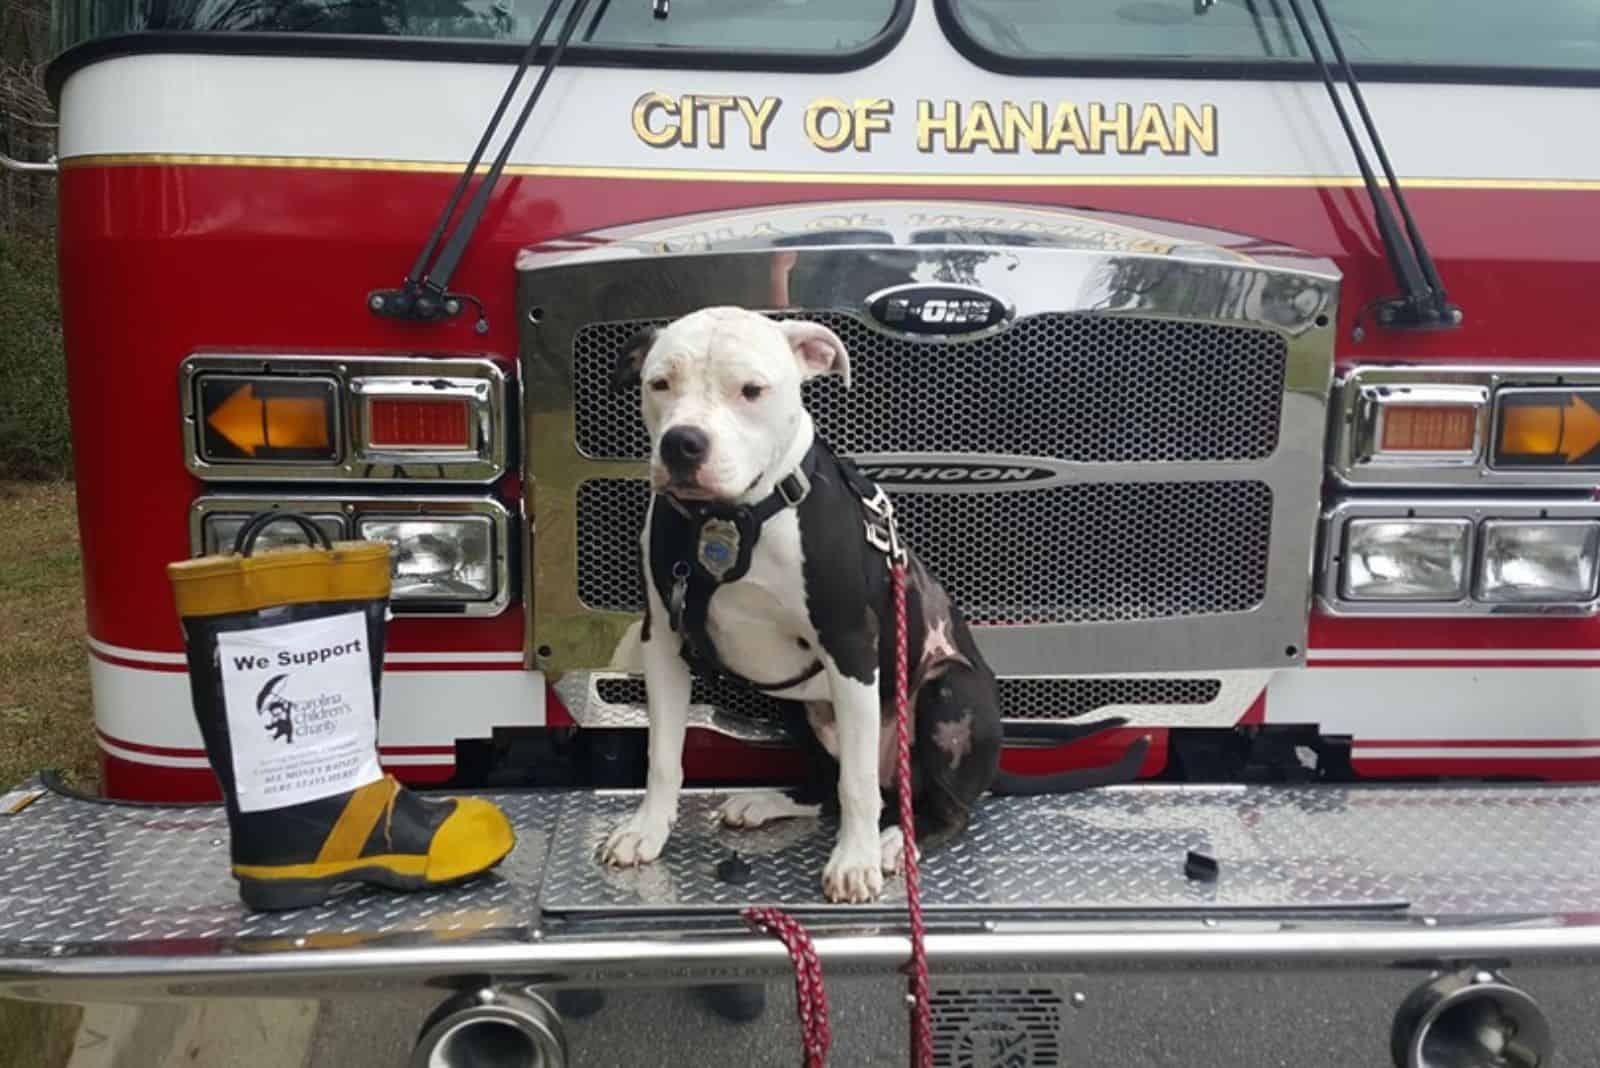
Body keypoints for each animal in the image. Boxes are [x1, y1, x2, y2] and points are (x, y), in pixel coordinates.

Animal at [601, 306, 1152, 901]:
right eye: (659, 383)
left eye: (751, 390)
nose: (683, 443)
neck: (733, 518)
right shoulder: (664, 639)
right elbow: (662, 755)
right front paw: (646, 831)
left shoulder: (850, 648)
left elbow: (858, 782)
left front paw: (855, 860)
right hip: (794, 707)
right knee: (832, 783)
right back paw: (771, 802)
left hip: (946, 691)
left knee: (940, 808)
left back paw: (893, 842)